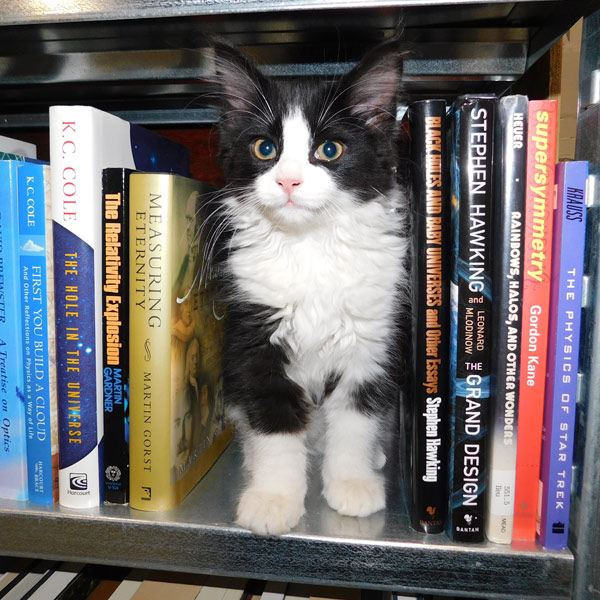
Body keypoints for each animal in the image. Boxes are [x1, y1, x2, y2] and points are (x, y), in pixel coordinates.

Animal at [210, 38, 408, 536]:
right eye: (265, 148)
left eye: (329, 149)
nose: (288, 180)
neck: (310, 245)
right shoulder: (255, 340)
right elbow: (274, 423)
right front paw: (274, 498)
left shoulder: (370, 341)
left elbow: (355, 420)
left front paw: (353, 483)